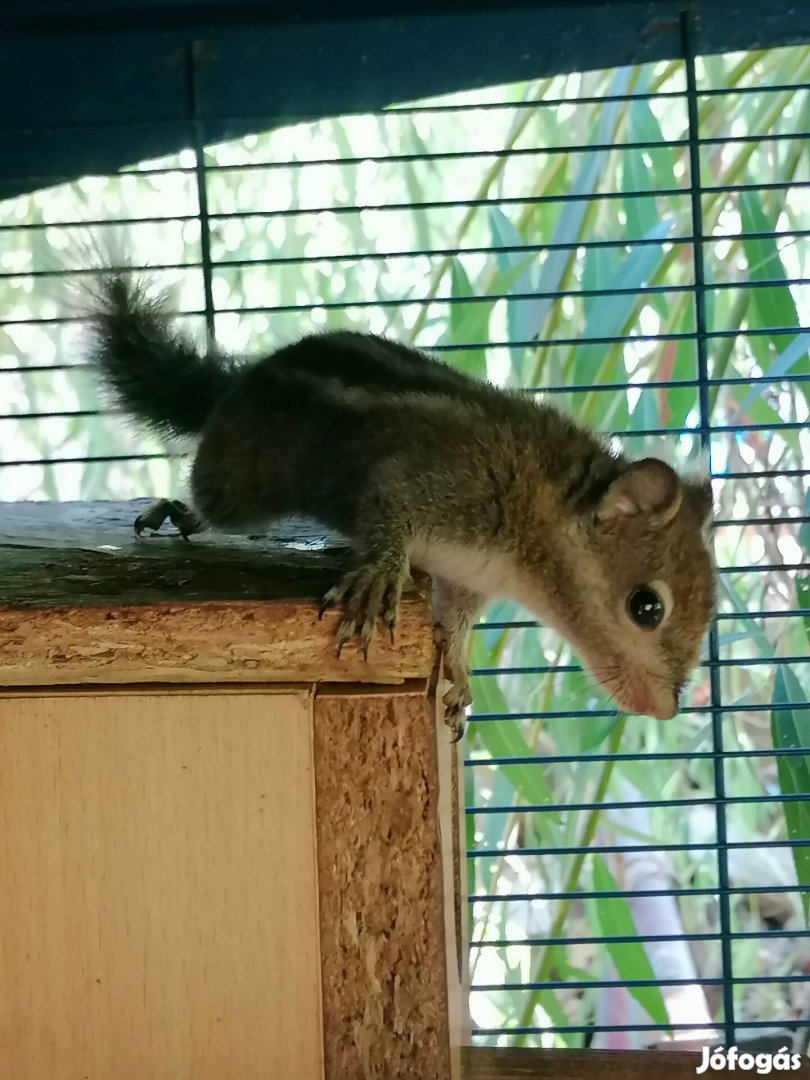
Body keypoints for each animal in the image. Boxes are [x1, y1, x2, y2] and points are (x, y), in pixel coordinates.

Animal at [81, 270, 717, 743]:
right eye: (646, 608)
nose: (666, 708)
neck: (542, 511)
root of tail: (237, 381)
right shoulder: (436, 484)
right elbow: (390, 513)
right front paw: (379, 580)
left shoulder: (466, 582)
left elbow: (453, 627)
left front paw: (459, 680)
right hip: (241, 481)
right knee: (209, 502)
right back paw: (177, 512)